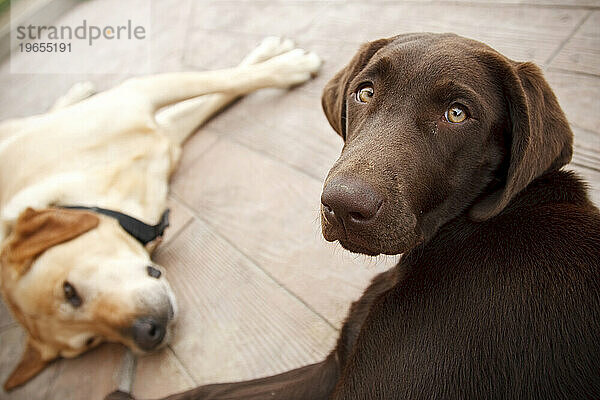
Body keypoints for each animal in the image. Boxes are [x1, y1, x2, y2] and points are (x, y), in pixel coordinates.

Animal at [109, 33, 600, 400]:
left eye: (457, 113)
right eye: (365, 93)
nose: (342, 205)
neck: (457, 231)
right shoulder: (335, 363)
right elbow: (213, 389)